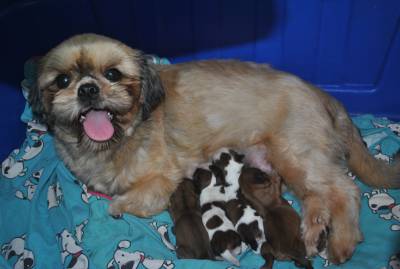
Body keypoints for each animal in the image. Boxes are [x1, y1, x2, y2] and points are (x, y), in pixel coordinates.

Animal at [28, 32, 400, 262]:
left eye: (113, 74)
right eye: (63, 81)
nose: (88, 89)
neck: (115, 140)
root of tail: (322, 93)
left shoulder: (161, 183)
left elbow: (121, 203)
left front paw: (116, 206)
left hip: (297, 151)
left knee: (345, 190)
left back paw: (342, 240)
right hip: (293, 163)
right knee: (318, 198)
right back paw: (312, 233)